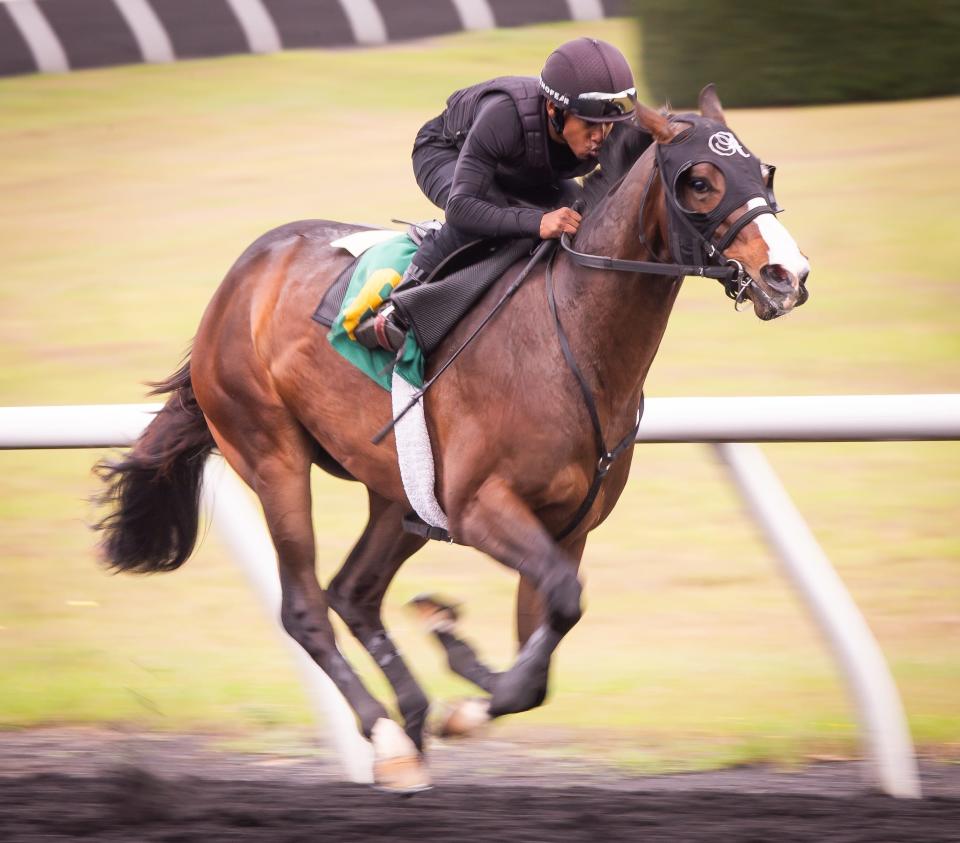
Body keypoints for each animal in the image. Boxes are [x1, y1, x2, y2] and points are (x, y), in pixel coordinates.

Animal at [94, 84, 808, 792]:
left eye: (764, 171)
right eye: (700, 181)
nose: (788, 275)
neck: (570, 338)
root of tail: (237, 280)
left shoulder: (567, 529)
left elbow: (545, 645)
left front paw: (457, 664)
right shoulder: (479, 507)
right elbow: (560, 611)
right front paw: (459, 682)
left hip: (398, 490)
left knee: (353, 592)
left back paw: (411, 718)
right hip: (273, 457)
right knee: (305, 607)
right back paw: (386, 737)